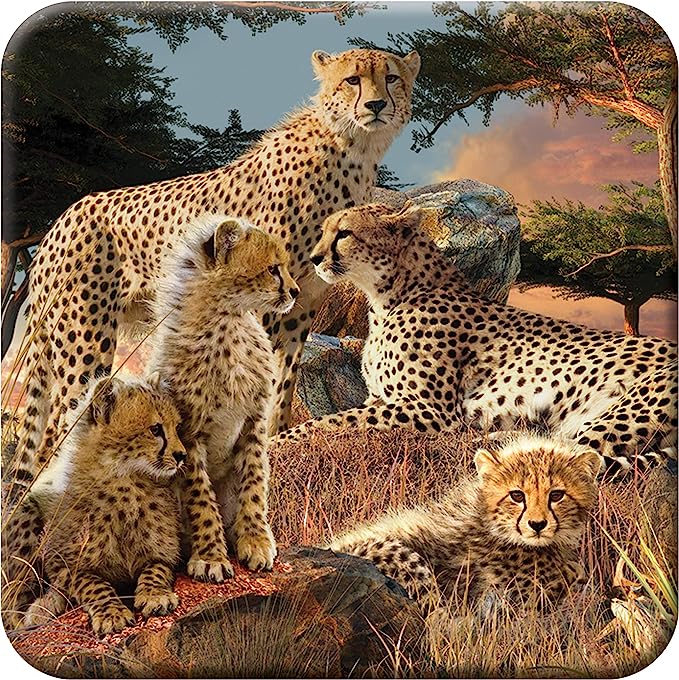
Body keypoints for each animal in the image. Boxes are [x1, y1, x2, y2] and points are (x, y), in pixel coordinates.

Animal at [3, 373, 186, 635]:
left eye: (177, 428)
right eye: (155, 429)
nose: (182, 455)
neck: (127, 482)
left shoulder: (164, 555)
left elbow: (156, 568)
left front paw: (155, 594)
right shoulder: (61, 563)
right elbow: (91, 582)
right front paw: (111, 613)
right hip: (26, 512)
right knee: (13, 604)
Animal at [12, 48, 421, 487]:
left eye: (391, 77)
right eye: (352, 80)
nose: (376, 105)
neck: (353, 148)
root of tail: (60, 220)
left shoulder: (301, 303)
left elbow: (283, 381)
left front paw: (275, 440)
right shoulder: (265, 304)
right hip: (84, 342)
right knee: (58, 430)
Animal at [146, 216, 299, 583]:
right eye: (273, 269)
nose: (295, 291)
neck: (228, 322)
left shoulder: (254, 422)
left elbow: (254, 483)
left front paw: (256, 542)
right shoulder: (187, 435)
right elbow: (201, 495)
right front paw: (210, 556)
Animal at [276, 203, 678, 474]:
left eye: (344, 233)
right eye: (324, 231)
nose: (313, 258)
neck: (391, 294)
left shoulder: (432, 411)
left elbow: (331, 421)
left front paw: (278, 442)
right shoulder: (382, 398)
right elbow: (340, 416)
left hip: (614, 417)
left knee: (575, 457)